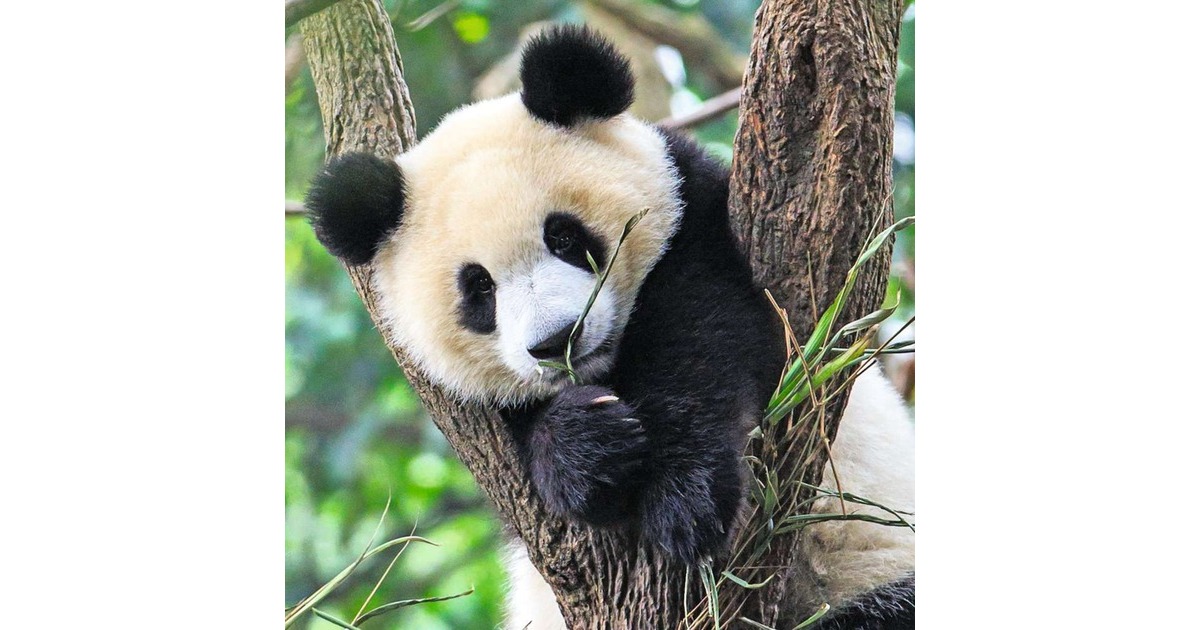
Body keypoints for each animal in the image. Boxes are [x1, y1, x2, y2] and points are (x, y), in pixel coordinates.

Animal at [305, 25, 914, 630]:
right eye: (479, 288)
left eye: (564, 237)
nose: (558, 341)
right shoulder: (480, 420)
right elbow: (527, 454)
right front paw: (587, 446)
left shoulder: (698, 220)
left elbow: (708, 338)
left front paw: (687, 502)